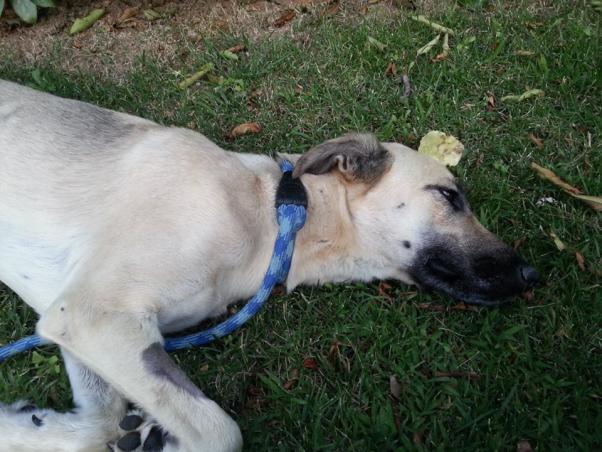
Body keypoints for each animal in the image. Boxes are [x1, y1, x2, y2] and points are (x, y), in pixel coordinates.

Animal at [0, 80, 538, 451]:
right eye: (448, 196)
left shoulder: (67, 317)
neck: (272, 212)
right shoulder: (92, 314)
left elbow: (101, 422)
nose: (532, 275)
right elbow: (220, 432)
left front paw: (26, 425)